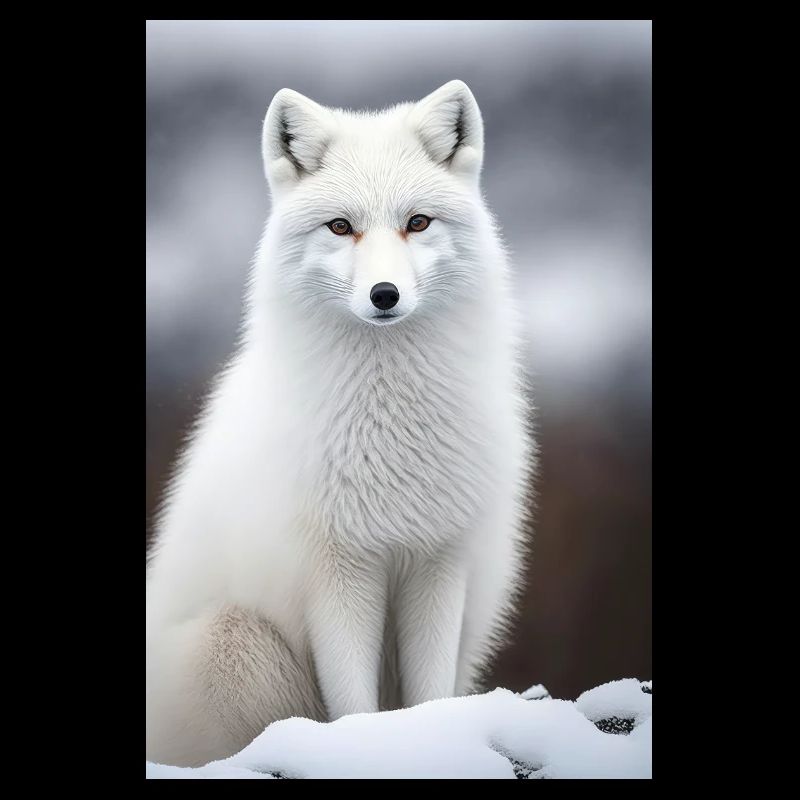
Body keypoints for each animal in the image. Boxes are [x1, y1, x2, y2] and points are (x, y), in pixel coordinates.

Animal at [146, 80, 534, 768]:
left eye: (417, 222)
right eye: (341, 226)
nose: (384, 295)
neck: (392, 427)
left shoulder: (438, 562)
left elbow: (430, 692)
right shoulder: (337, 571)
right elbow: (352, 702)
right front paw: (360, 749)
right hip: (236, 644)